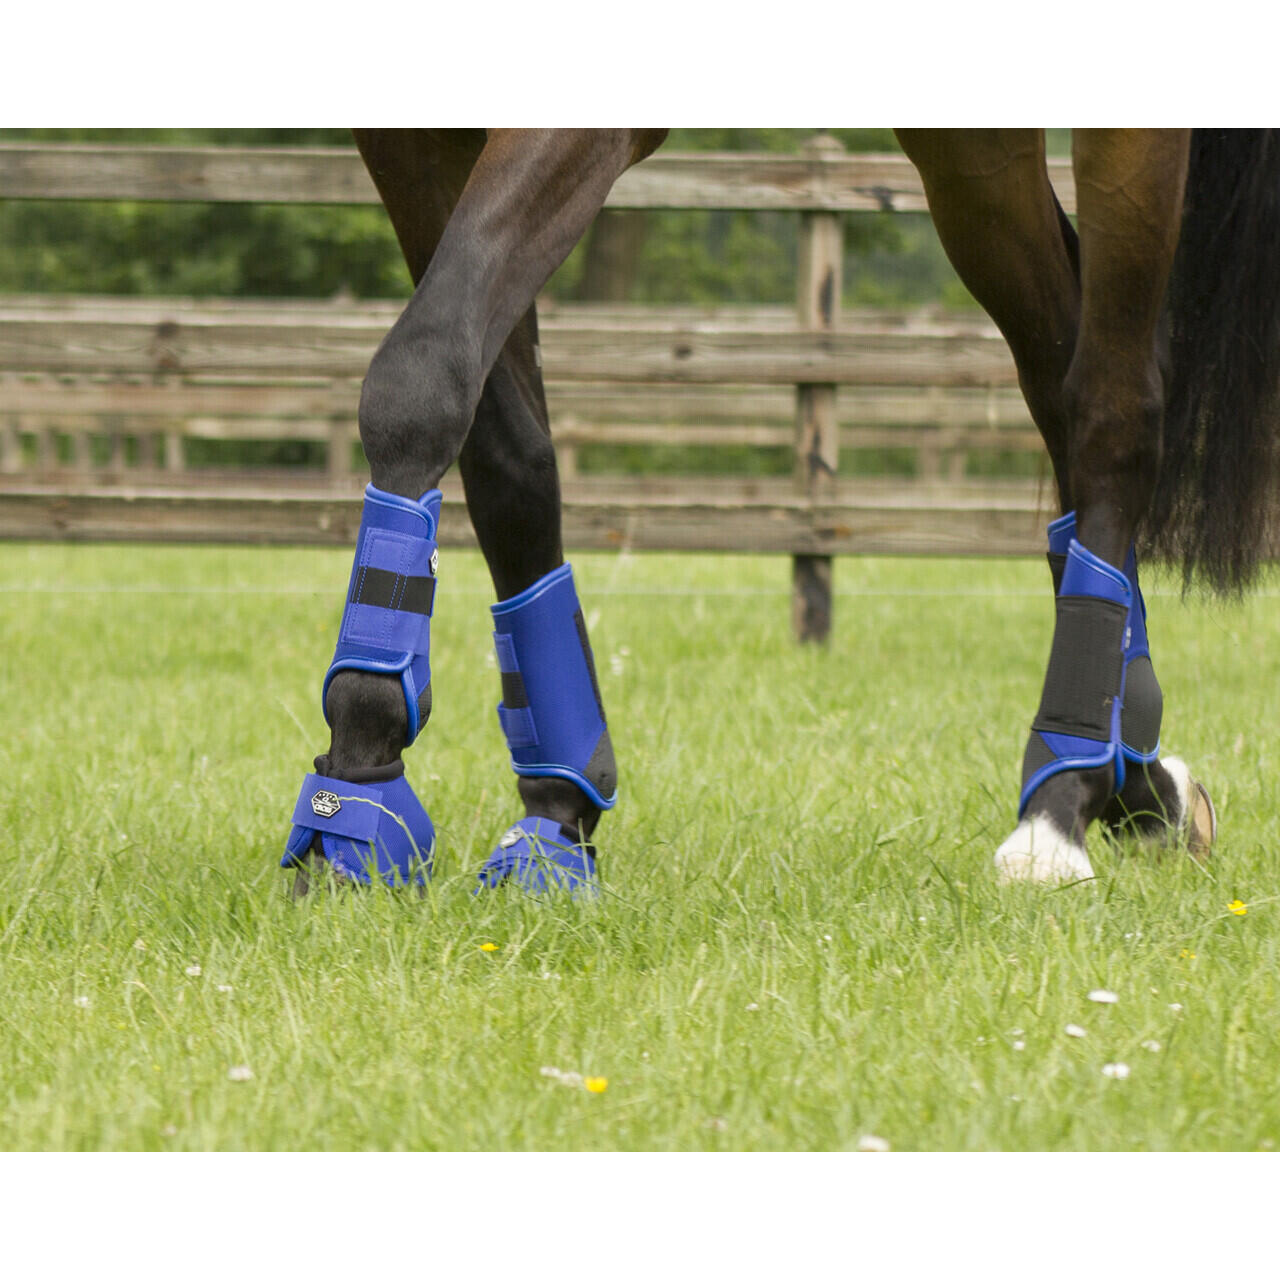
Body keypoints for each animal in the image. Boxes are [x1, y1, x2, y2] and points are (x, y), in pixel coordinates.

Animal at [282, 128, 1280, 894]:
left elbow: (420, 373)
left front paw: (359, 785)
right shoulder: (412, 142)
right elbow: (498, 445)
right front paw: (544, 815)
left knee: (1112, 410)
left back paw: (1057, 811)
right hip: (971, 152)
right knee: (1057, 370)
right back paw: (1133, 773)